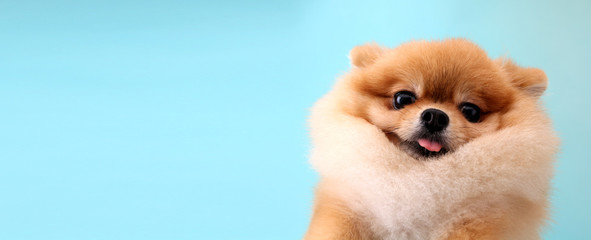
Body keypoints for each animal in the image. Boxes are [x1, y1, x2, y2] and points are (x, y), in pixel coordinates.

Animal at [306, 38, 560, 239]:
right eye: (403, 98)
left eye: (471, 111)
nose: (435, 117)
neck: (421, 175)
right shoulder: (347, 208)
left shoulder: (482, 219)